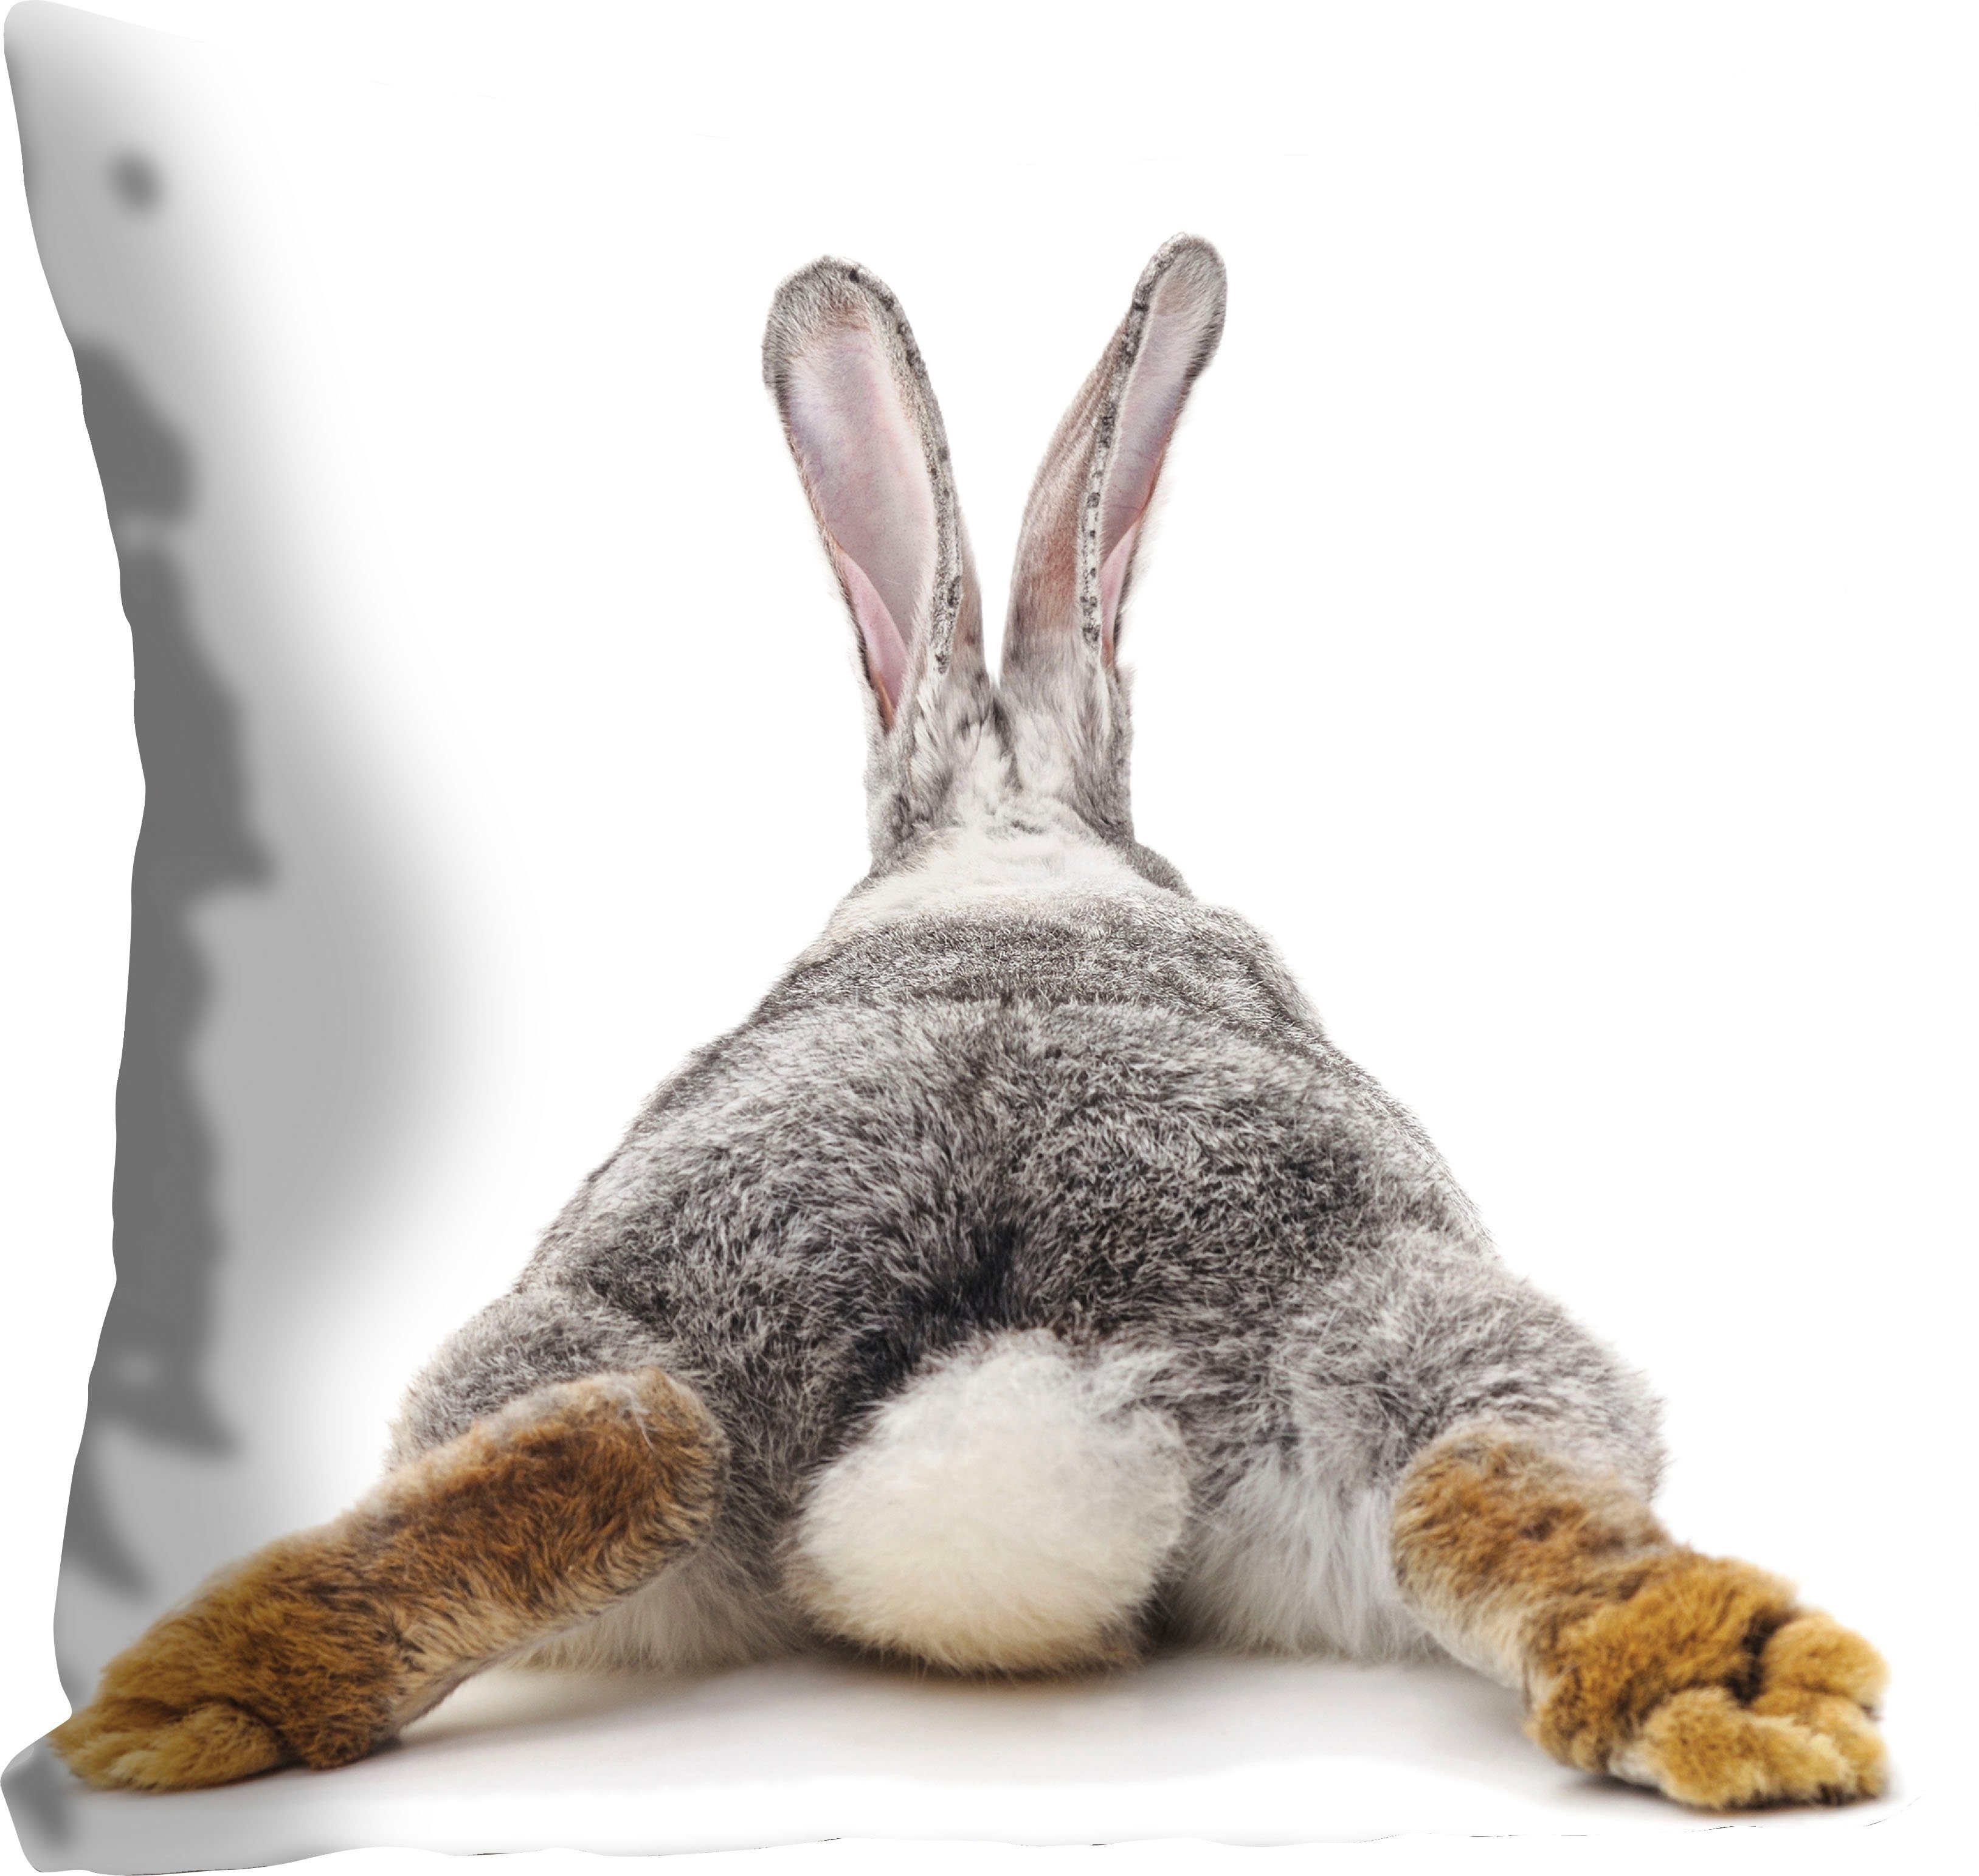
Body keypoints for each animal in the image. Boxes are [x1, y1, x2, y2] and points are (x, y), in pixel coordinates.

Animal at [50, 236, 1887, 1812]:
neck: (1002, 850)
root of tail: (1007, 1366)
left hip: (589, 1342)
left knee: (622, 1443)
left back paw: (168, 1712)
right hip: (1419, 1321)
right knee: (1476, 1478)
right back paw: (1753, 1693)